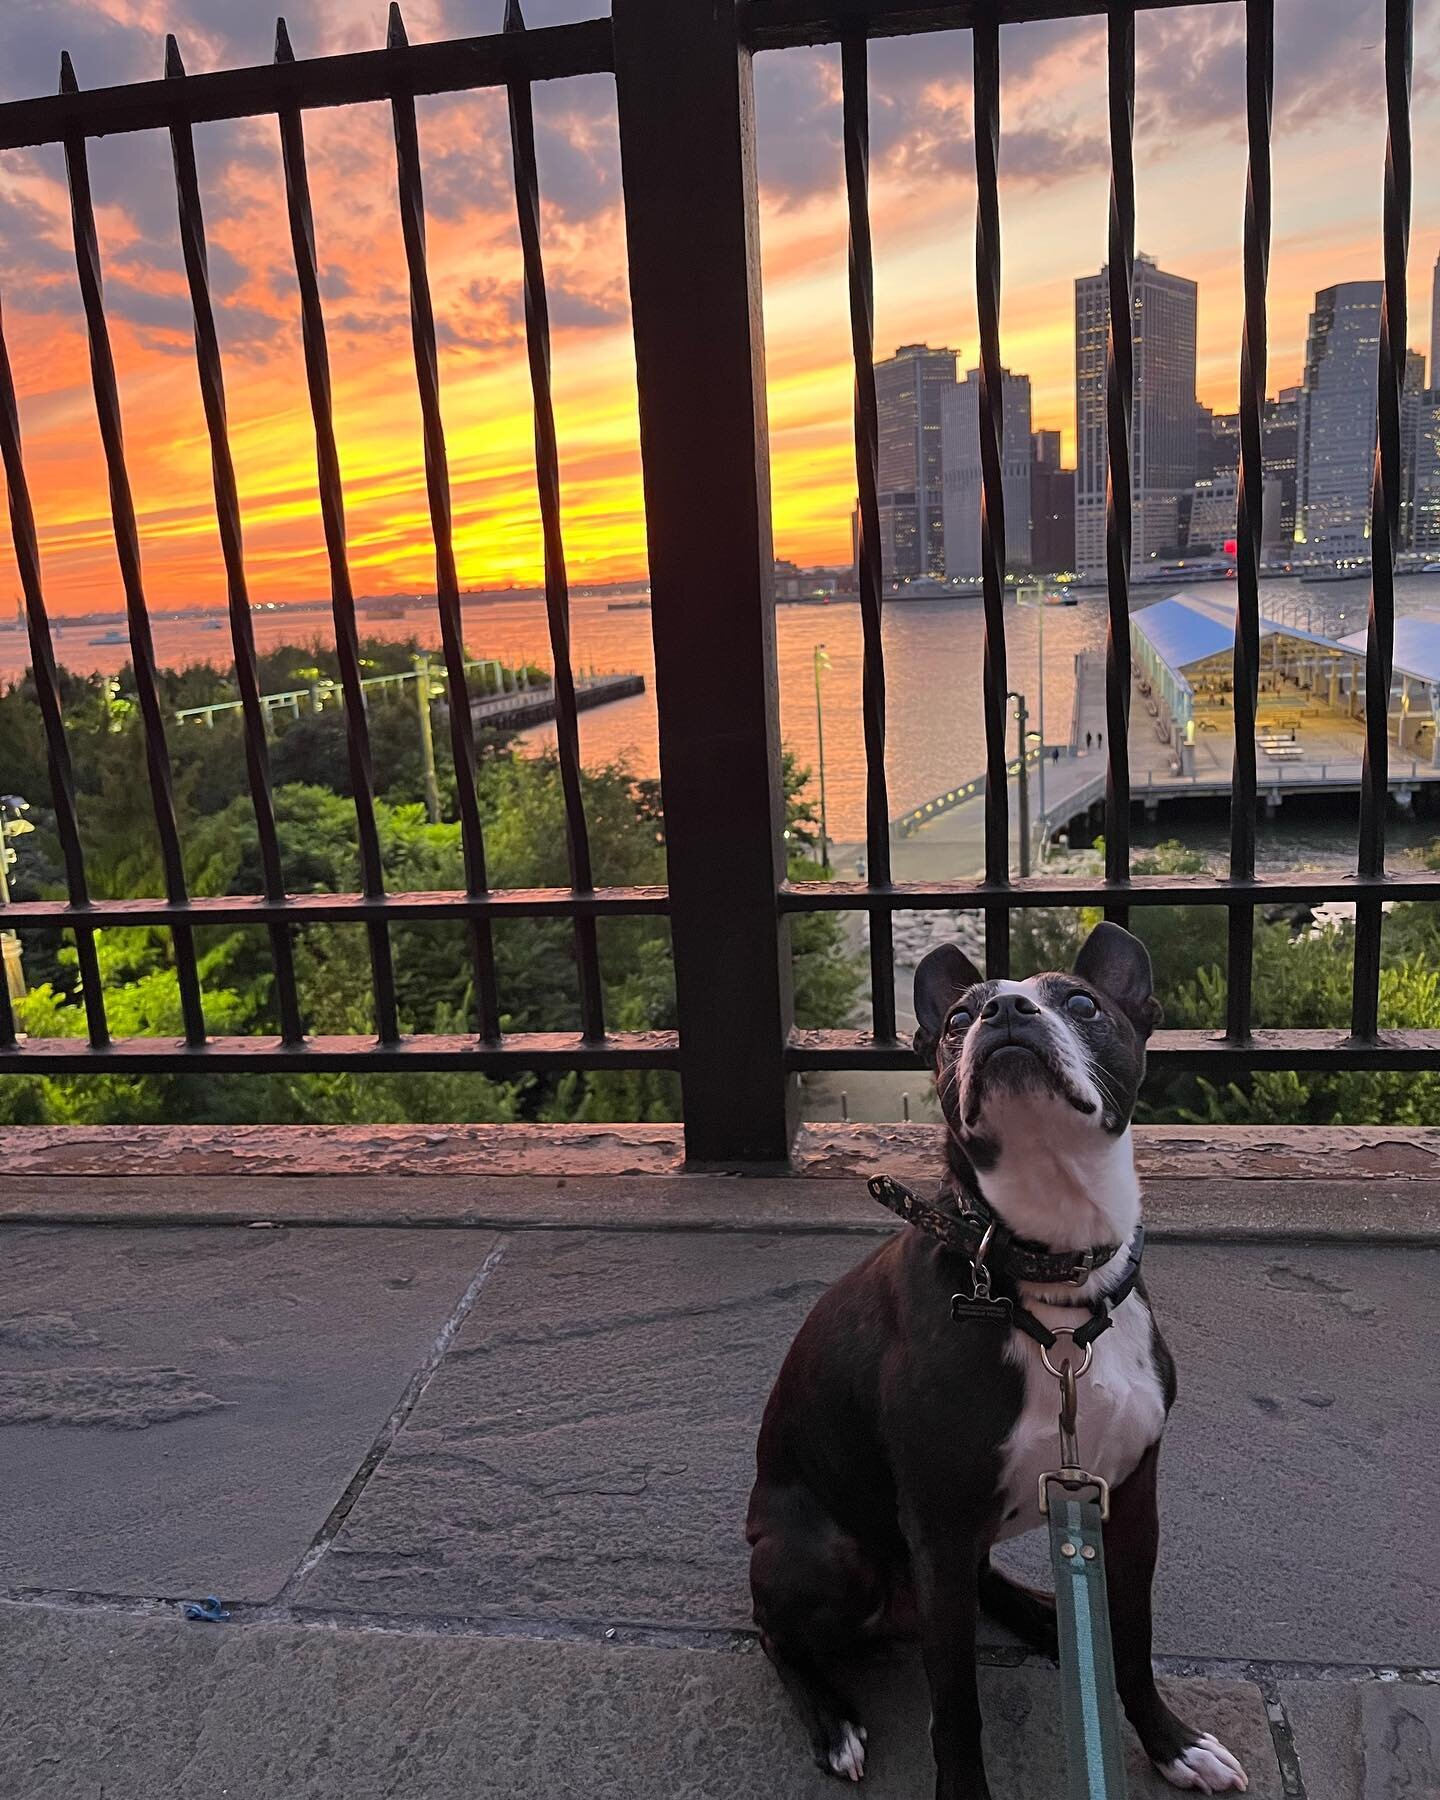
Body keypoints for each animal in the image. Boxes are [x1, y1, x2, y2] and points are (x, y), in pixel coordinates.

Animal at [748, 928, 1245, 1800]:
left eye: (1082, 1003)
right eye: (955, 1021)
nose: (1007, 1011)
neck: (1052, 1284)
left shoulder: (1130, 1503)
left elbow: (1133, 1643)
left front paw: (1171, 1743)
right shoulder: (940, 1525)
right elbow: (956, 1708)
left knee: (991, 1583)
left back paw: (1046, 1614)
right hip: (827, 1554)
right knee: (779, 1635)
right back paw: (833, 1720)